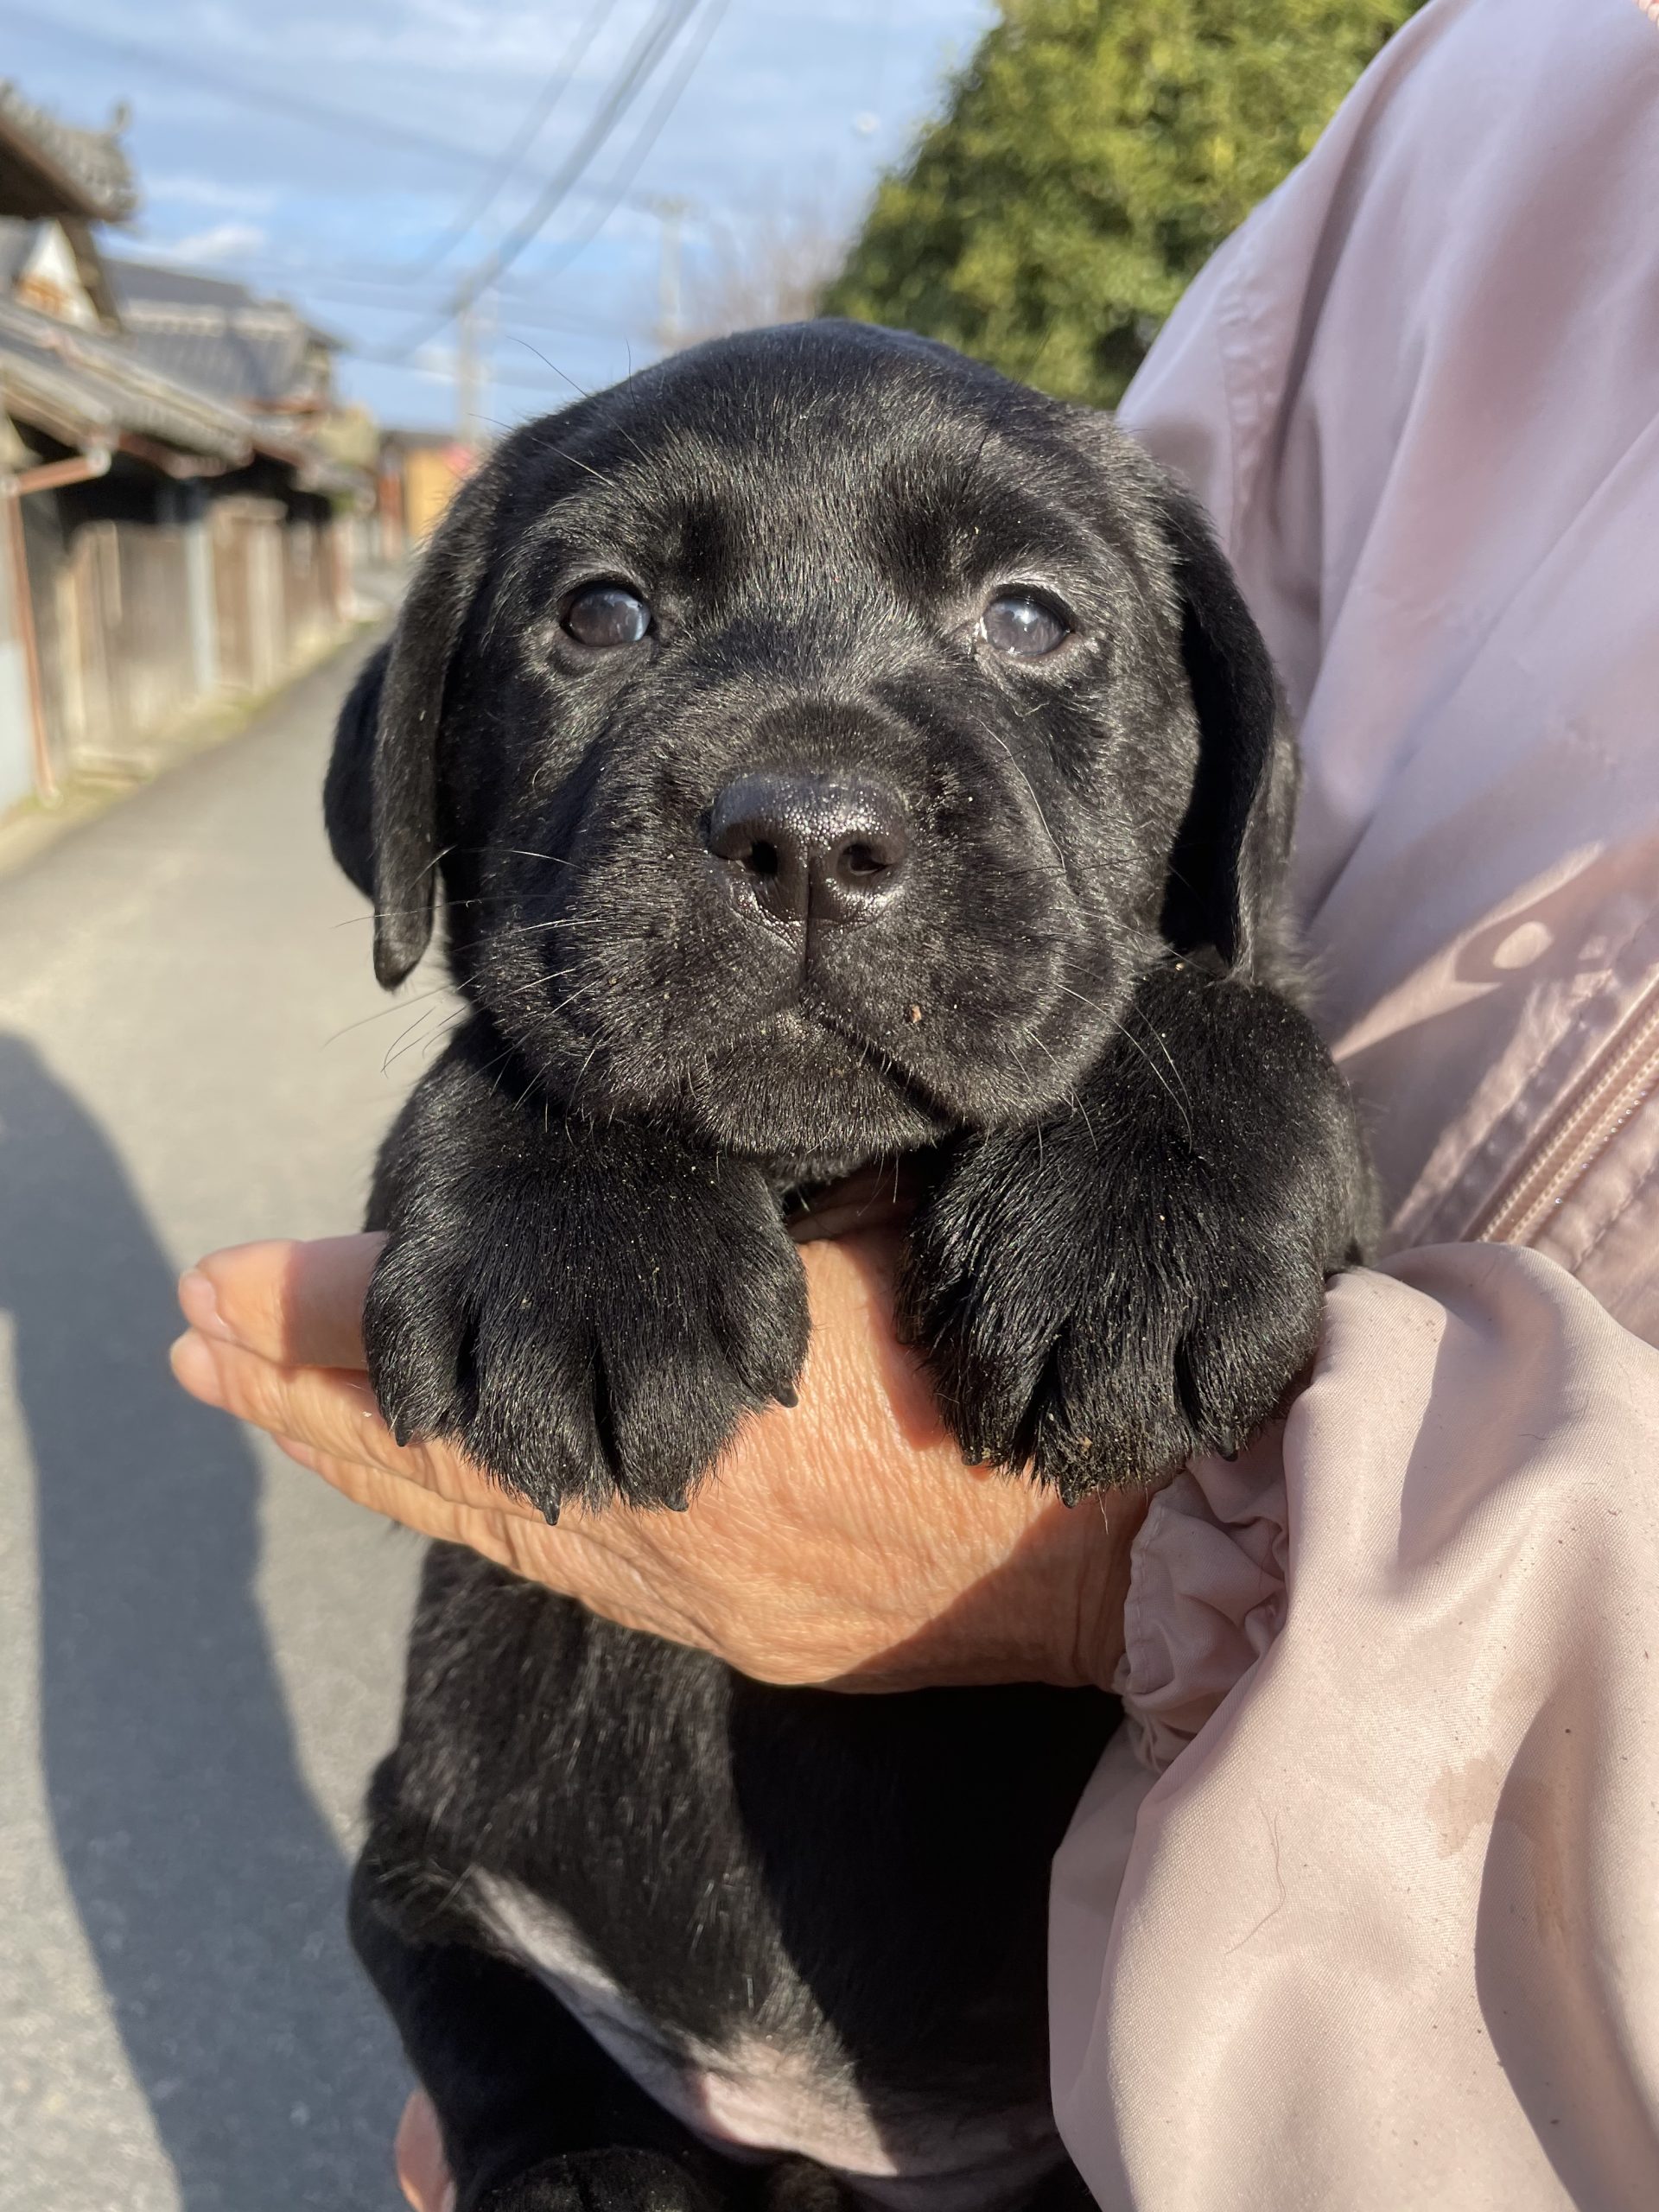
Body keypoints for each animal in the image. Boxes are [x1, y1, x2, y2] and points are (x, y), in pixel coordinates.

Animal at [325, 316, 1380, 2212]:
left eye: (1030, 616)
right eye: (600, 613)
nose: (807, 829)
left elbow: (1217, 991)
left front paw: (1135, 1219)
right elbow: (531, 1041)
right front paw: (576, 1247)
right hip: (426, 1859)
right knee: (480, 2005)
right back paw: (596, 2170)